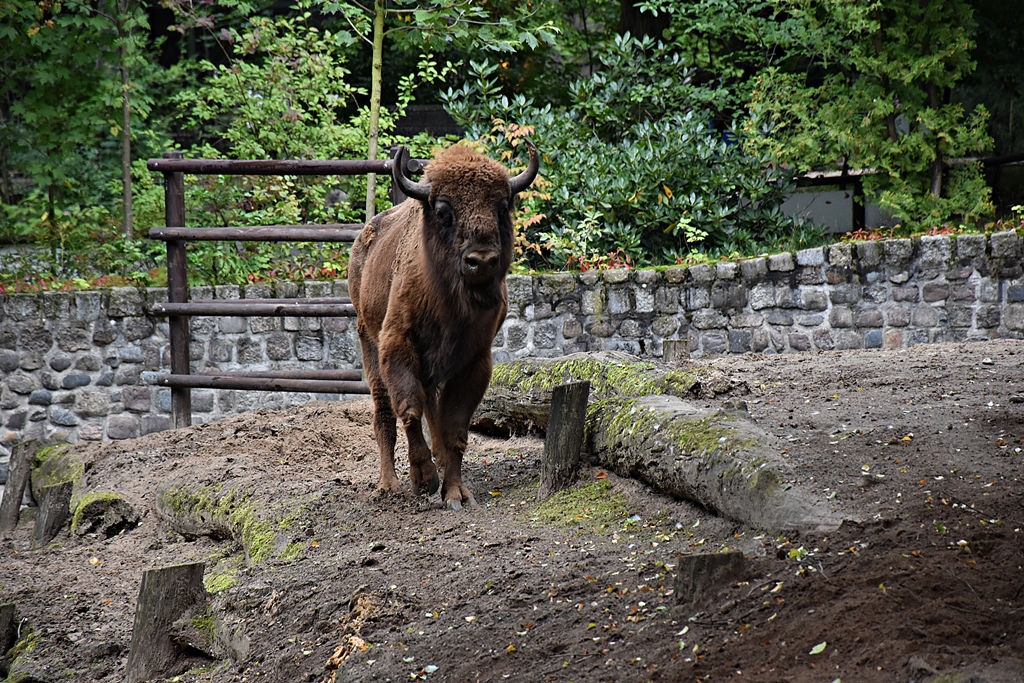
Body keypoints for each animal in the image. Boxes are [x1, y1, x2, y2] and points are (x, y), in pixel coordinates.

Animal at [349, 141, 539, 509]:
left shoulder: (474, 361)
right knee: (384, 413)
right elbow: (409, 409)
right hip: (368, 341)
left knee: (432, 409)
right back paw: (389, 485)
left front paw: (456, 493)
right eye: (442, 210)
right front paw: (424, 480)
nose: (482, 261)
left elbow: (455, 427)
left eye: (502, 206)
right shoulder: (397, 346)